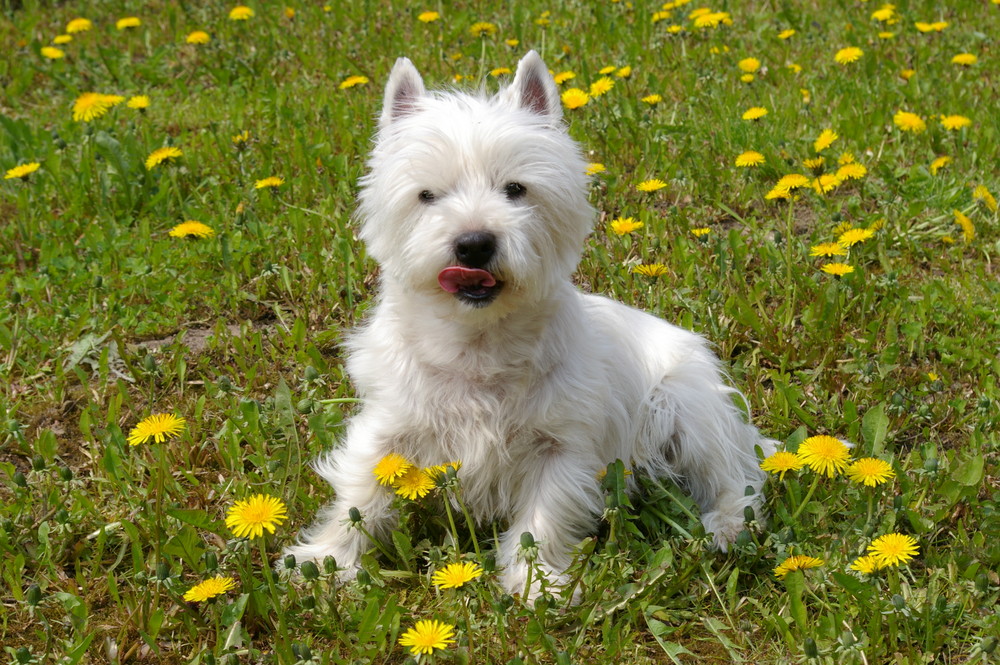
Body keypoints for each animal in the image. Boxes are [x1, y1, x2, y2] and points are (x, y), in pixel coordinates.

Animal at [286, 52, 776, 596]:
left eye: (516, 189)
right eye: (427, 195)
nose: (474, 244)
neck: (478, 344)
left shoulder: (561, 444)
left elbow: (545, 513)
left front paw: (536, 585)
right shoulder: (390, 426)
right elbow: (360, 493)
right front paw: (326, 560)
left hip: (686, 406)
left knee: (735, 473)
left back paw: (727, 527)